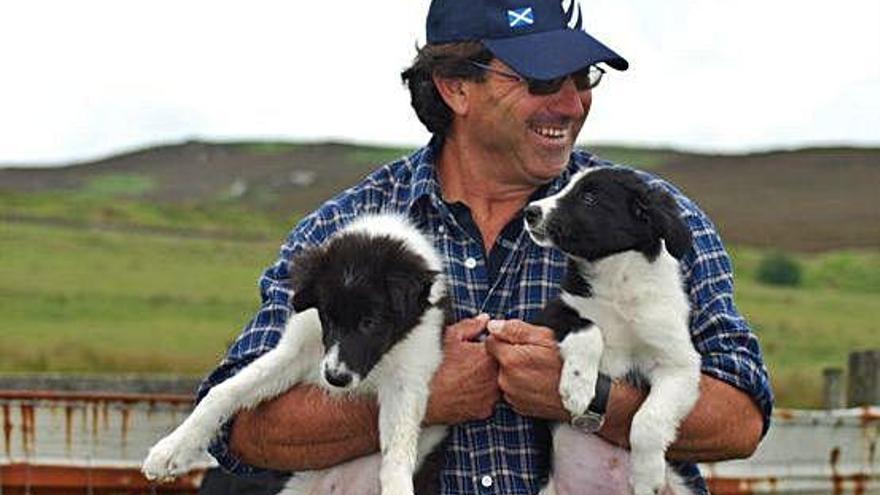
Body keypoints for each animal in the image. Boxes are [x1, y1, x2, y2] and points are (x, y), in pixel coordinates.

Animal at [144, 213, 450, 495]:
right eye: (327, 317)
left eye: (370, 322)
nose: (335, 379)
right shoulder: (296, 350)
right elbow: (223, 391)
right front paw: (170, 449)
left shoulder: (409, 373)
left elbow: (397, 452)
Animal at [524, 168, 704, 495]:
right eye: (566, 187)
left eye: (589, 197)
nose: (530, 212)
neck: (617, 282)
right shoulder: (553, 312)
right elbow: (589, 329)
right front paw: (578, 387)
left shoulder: (679, 365)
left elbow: (648, 419)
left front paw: (646, 475)